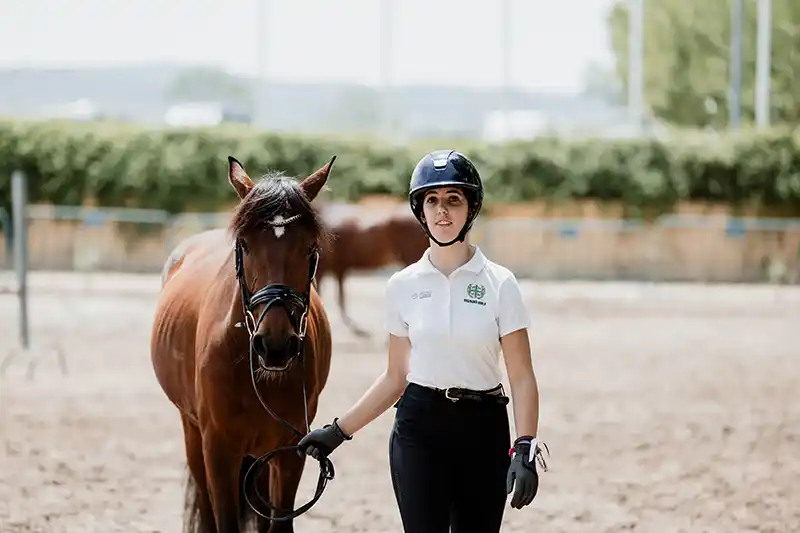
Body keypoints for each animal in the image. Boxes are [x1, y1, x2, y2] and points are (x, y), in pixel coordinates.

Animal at [149, 155, 334, 532]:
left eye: (310, 247)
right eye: (245, 244)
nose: (275, 346)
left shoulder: (288, 452)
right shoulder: (218, 450)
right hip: (192, 433)